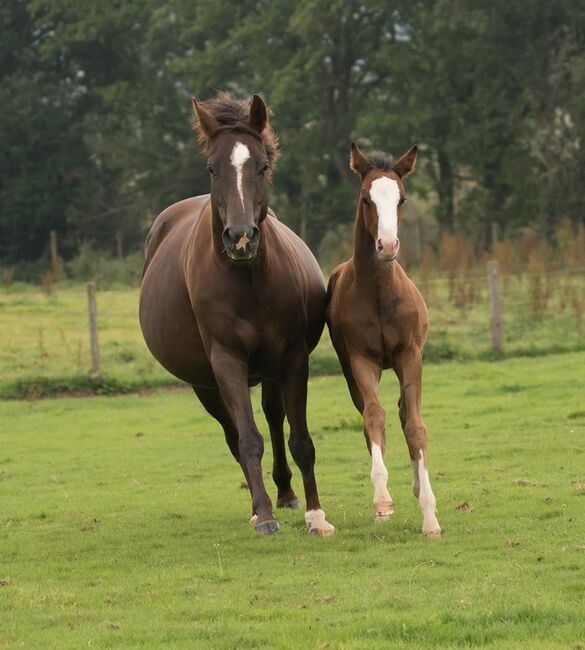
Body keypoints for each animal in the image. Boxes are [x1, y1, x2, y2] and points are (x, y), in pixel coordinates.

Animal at [138, 92, 334, 536]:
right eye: (212, 168)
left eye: (262, 165)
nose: (241, 238)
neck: (248, 282)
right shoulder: (226, 362)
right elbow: (247, 440)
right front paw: (263, 515)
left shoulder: (293, 359)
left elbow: (300, 440)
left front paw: (316, 514)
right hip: (206, 385)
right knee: (234, 434)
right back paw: (261, 505)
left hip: (268, 371)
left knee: (275, 419)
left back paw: (287, 494)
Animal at [326, 142, 440, 536]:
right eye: (366, 198)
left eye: (401, 199)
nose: (387, 245)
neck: (378, 293)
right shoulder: (361, 360)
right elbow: (374, 417)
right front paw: (382, 501)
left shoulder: (411, 355)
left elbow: (416, 427)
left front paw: (430, 516)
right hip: (350, 372)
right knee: (370, 415)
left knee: (406, 414)